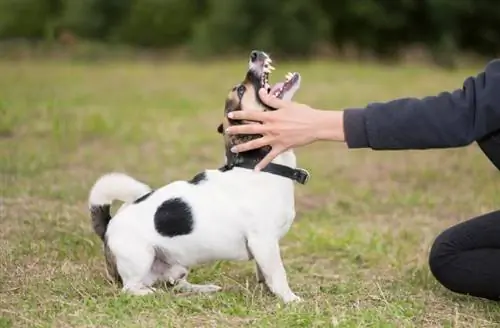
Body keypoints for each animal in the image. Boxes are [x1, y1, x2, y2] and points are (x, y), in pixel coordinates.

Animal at [88, 50, 310, 304]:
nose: (255, 54)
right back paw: (149, 293)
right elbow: (278, 274)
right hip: (140, 258)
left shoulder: (263, 248)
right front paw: (290, 299)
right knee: (131, 287)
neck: (260, 165)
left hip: (177, 265)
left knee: (175, 283)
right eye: (240, 90)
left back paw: (201, 289)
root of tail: (108, 225)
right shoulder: (263, 241)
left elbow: (265, 274)